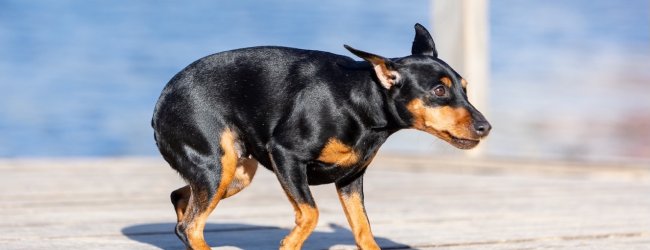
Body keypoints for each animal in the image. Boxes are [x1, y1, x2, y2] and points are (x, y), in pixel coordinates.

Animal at [151, 23, 486, 250]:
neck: (360, 101)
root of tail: (161, 103)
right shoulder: (286, 155)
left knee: (181, 203)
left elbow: (363, 229)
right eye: (439, 91)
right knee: (191, 225)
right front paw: (289, 242)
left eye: (465, 88)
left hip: (234, 172)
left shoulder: (351, 179)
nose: (486, 127)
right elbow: (310, 213)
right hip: (218, 167)